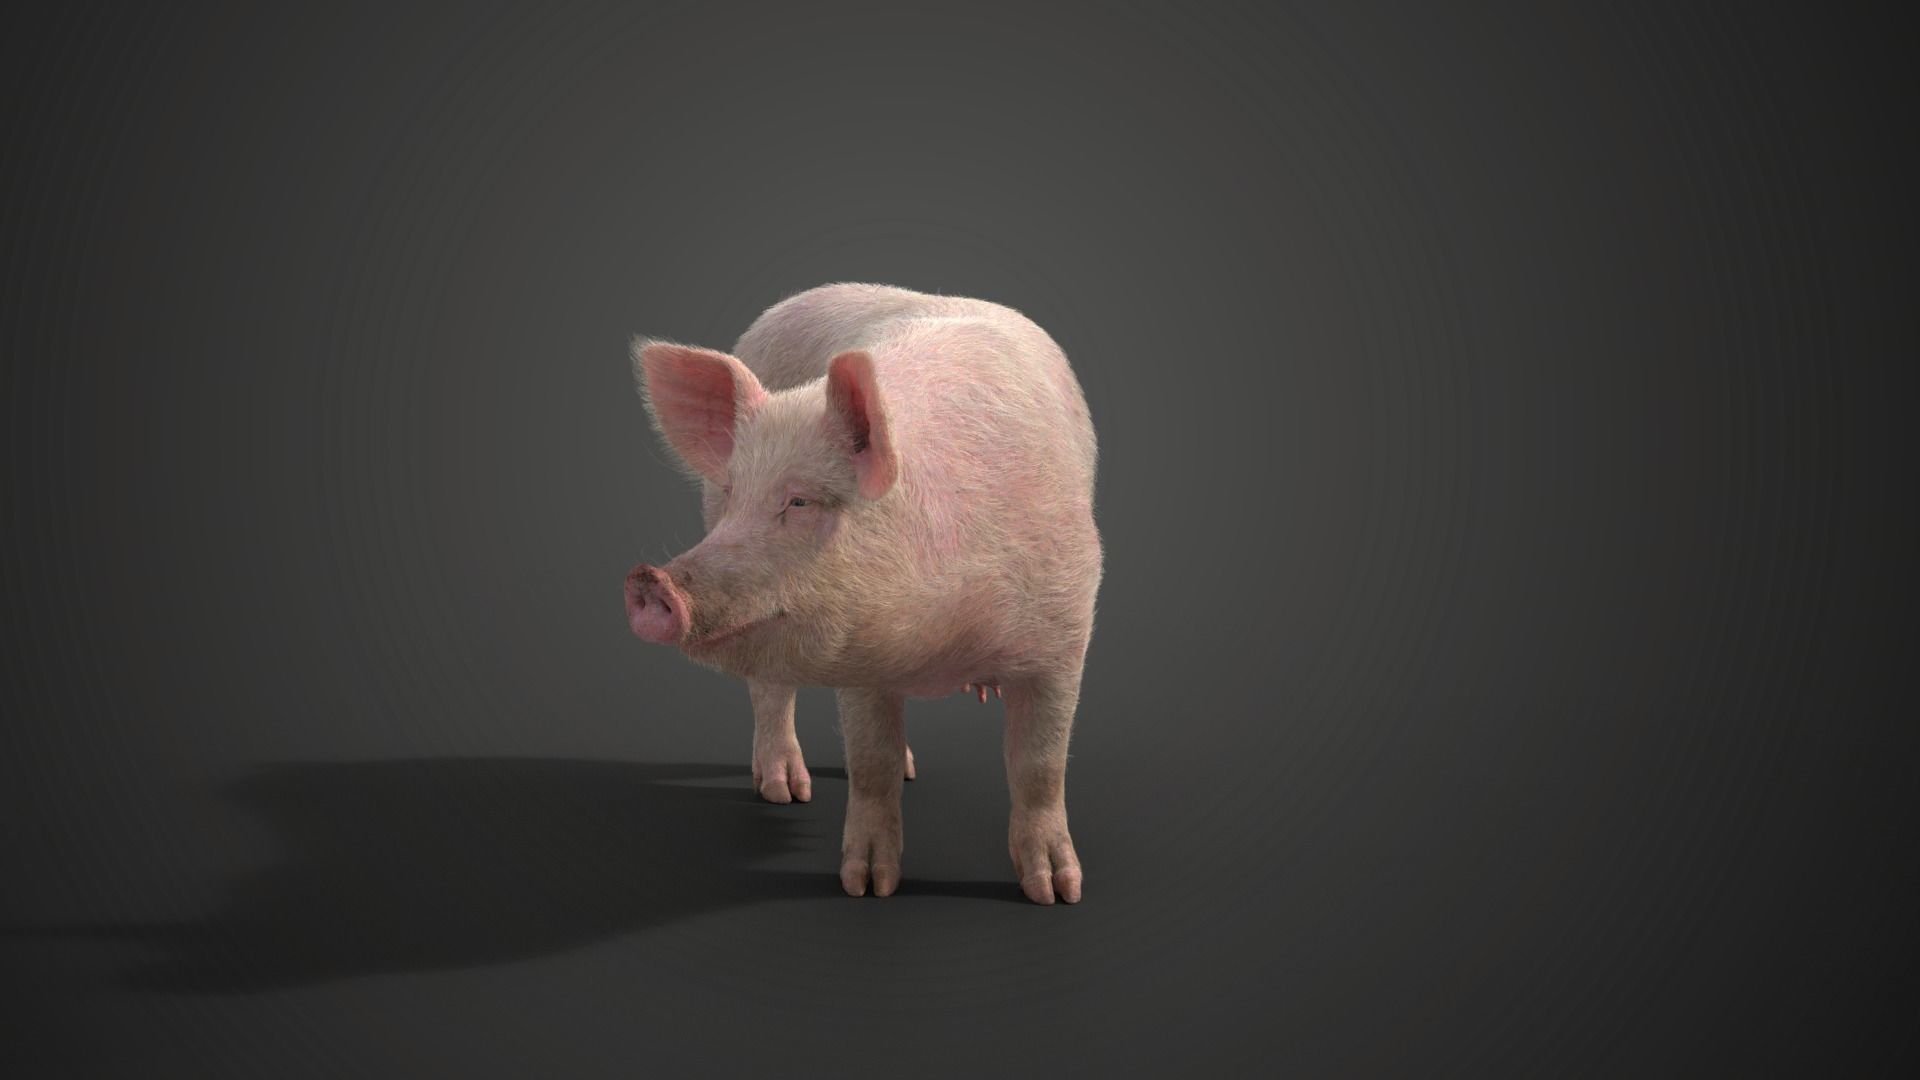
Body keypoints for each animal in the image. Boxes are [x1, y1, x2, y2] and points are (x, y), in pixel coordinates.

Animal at [624, 282, 1102, 904]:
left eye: (800, 501)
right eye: (734, 494)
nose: (649, 581)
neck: (942, 643)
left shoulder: (1066, 634)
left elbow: (1040, 765)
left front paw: (1058, 891)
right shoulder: (855, 652)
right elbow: (871, 761)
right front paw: (868, 886)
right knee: (770, 691)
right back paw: (786, 791)